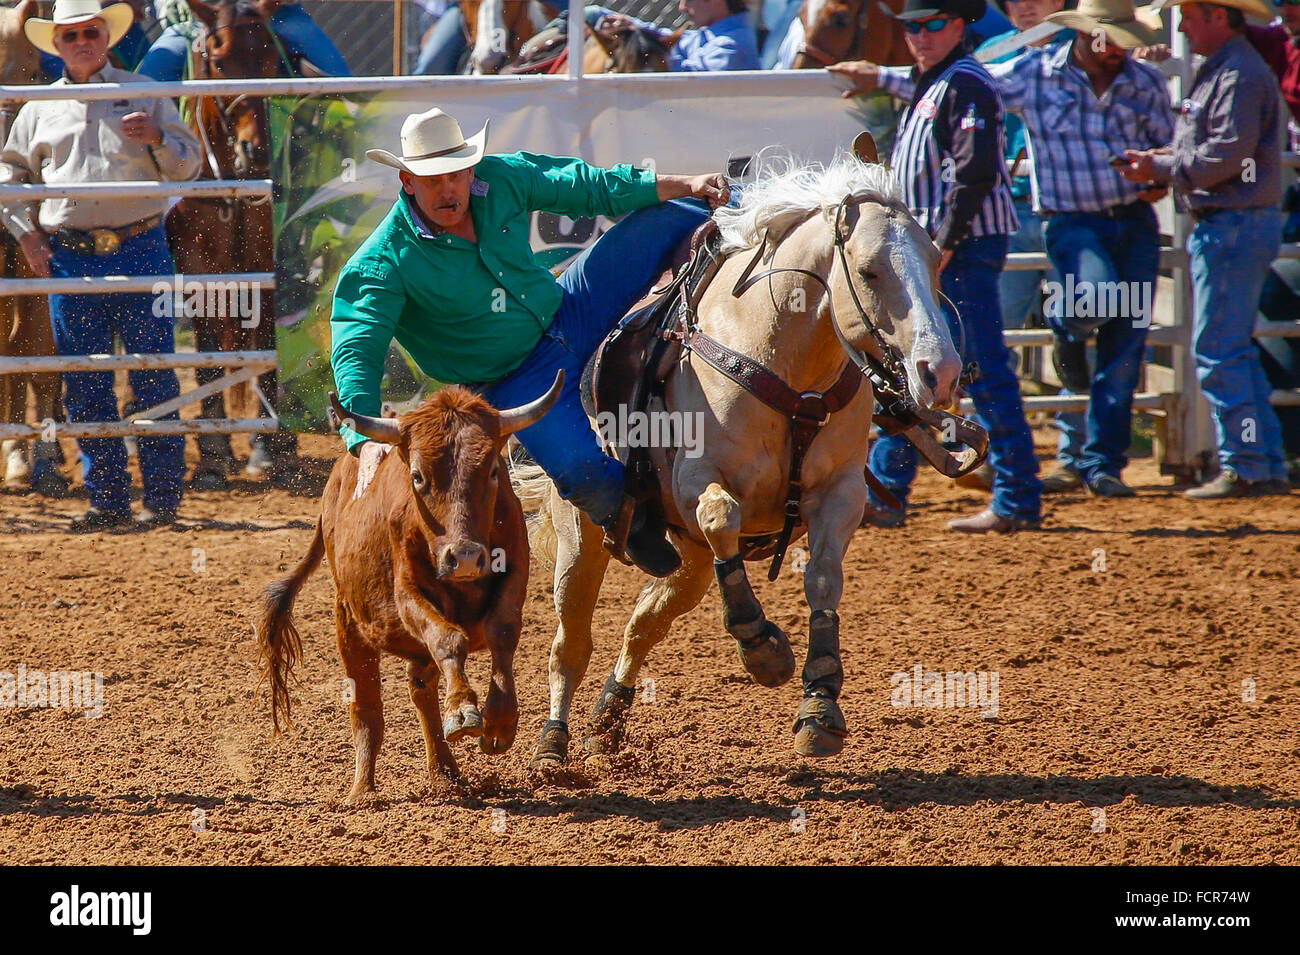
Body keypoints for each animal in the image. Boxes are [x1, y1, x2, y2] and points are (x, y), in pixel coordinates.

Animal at [166, 0, 297, 488]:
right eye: (219, 62)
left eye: (272, 62)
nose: (254, 150)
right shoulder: (197, 264)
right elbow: (206, 341)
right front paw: (214, 451)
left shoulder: (263, 258)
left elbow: (264, 336)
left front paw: (268, 446)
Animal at [520, 141, 967, 764]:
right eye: (870, 271)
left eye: (934, 262)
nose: (940, 373)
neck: (784, 363)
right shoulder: (697, 480)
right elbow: (721, 513)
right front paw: (762, 647)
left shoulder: (842, 492)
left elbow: (823, 580)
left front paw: (820, 704)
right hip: (582, 534)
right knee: (572, 639)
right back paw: (552, 746)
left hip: (685, 556)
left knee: (645, 622)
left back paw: (608, 716)